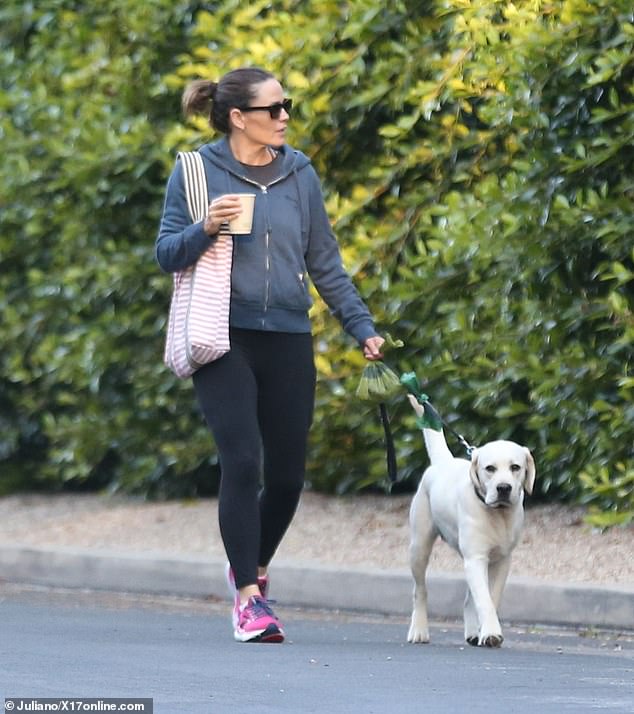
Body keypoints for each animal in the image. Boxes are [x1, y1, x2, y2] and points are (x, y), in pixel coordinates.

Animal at [404, 394, 532, 644]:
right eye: (489, 468)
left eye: (515, 467)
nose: (504, 488)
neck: (497, 514)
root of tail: (443, 462)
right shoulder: (475, 558)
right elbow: (484, 601)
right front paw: (491, 633)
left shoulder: (501, 561)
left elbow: (491, 598)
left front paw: (486, 631)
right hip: (419, 547)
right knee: (419, 591)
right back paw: (419, 630)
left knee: (467, 598)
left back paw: (473, 632)